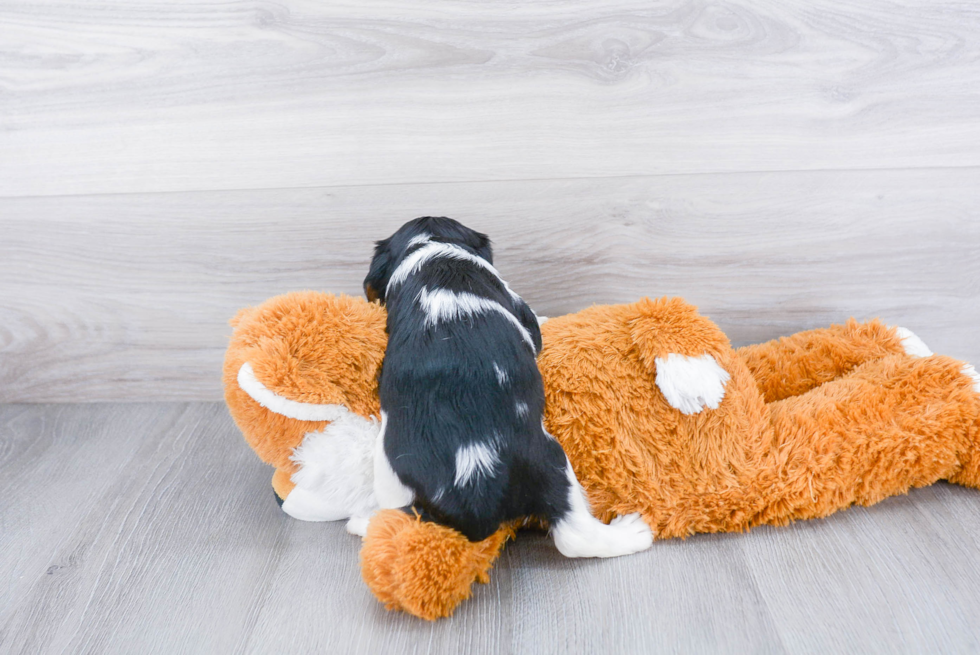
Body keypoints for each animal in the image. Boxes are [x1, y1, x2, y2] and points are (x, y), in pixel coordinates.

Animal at [364, 218, 656, 556]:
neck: (433, 251)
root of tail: (473, 478)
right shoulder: (518, 306)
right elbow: (536, 327)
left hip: (390, 468)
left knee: (396, 514)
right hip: (550, 461)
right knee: (575, 535)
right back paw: (633, 532)